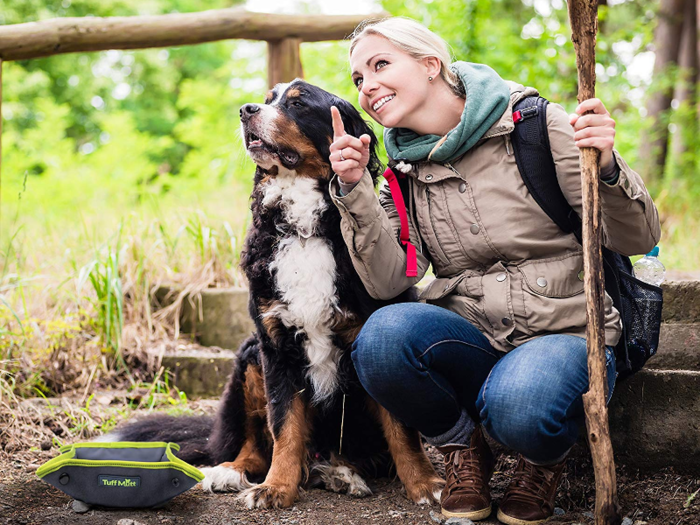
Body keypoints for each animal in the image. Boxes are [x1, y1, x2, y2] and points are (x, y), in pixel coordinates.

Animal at [113, 80, 446, 510]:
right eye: (268, 99)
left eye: (298, 103)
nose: (245, 110)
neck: (304, 228)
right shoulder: (276, 345)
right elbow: (284, 426)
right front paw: (276, 487)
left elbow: (402, 429)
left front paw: (426, 483)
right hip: (249, 356)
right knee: (255, 445)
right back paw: (232, 471)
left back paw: (340, 473)